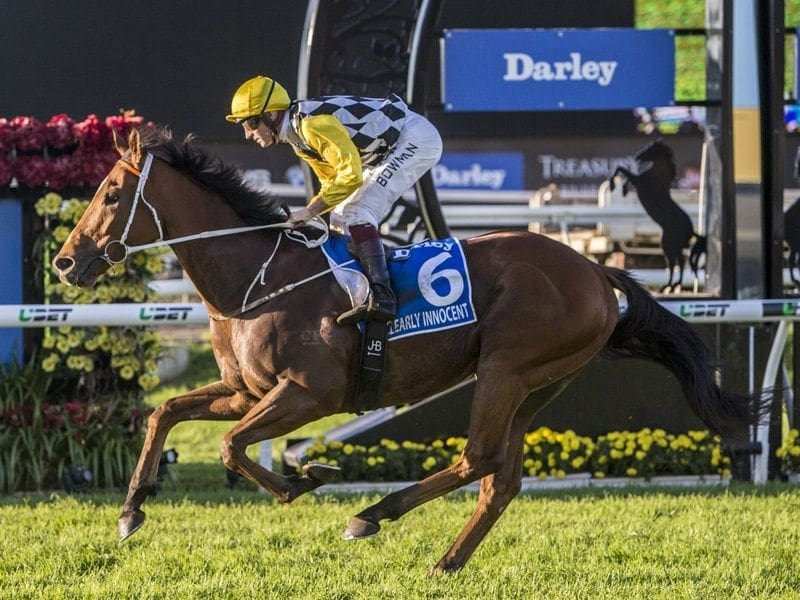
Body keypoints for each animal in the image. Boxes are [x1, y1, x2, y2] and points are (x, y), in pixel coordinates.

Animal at [53, 126, 760, 572]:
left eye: (111, 193)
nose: (64, 262)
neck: (258, 277)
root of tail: (592, 268)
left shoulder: (309, 393)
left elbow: (231, 446)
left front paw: (306, 478)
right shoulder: (244, 390)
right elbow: (165, 413)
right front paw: (131, 510)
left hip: (504, 369)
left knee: (478, 459)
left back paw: (373, 513)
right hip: (540, 383)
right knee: (501, 478)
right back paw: (445, 561)